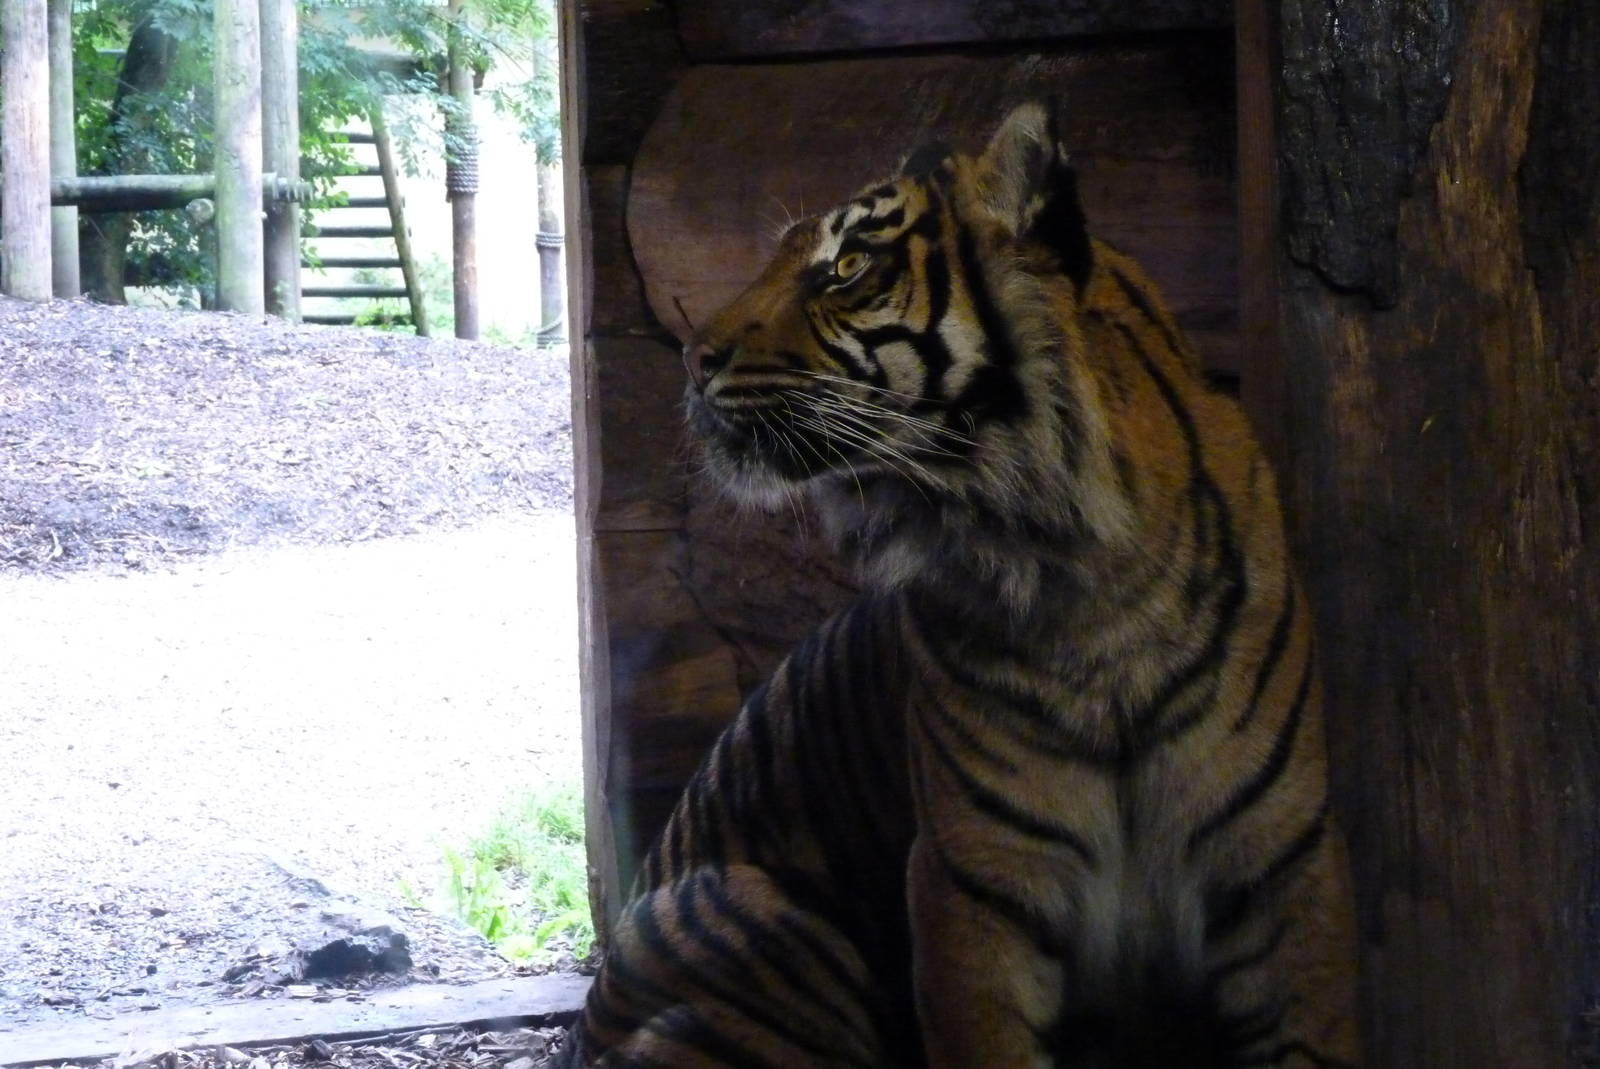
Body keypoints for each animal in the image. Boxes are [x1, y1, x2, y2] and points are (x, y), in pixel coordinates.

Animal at [557, 103, 1361, 1068]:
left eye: (848, 265)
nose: (693, 358)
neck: (1088, 578)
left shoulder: (1286, 863)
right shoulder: (971, 886)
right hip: (772, 917)